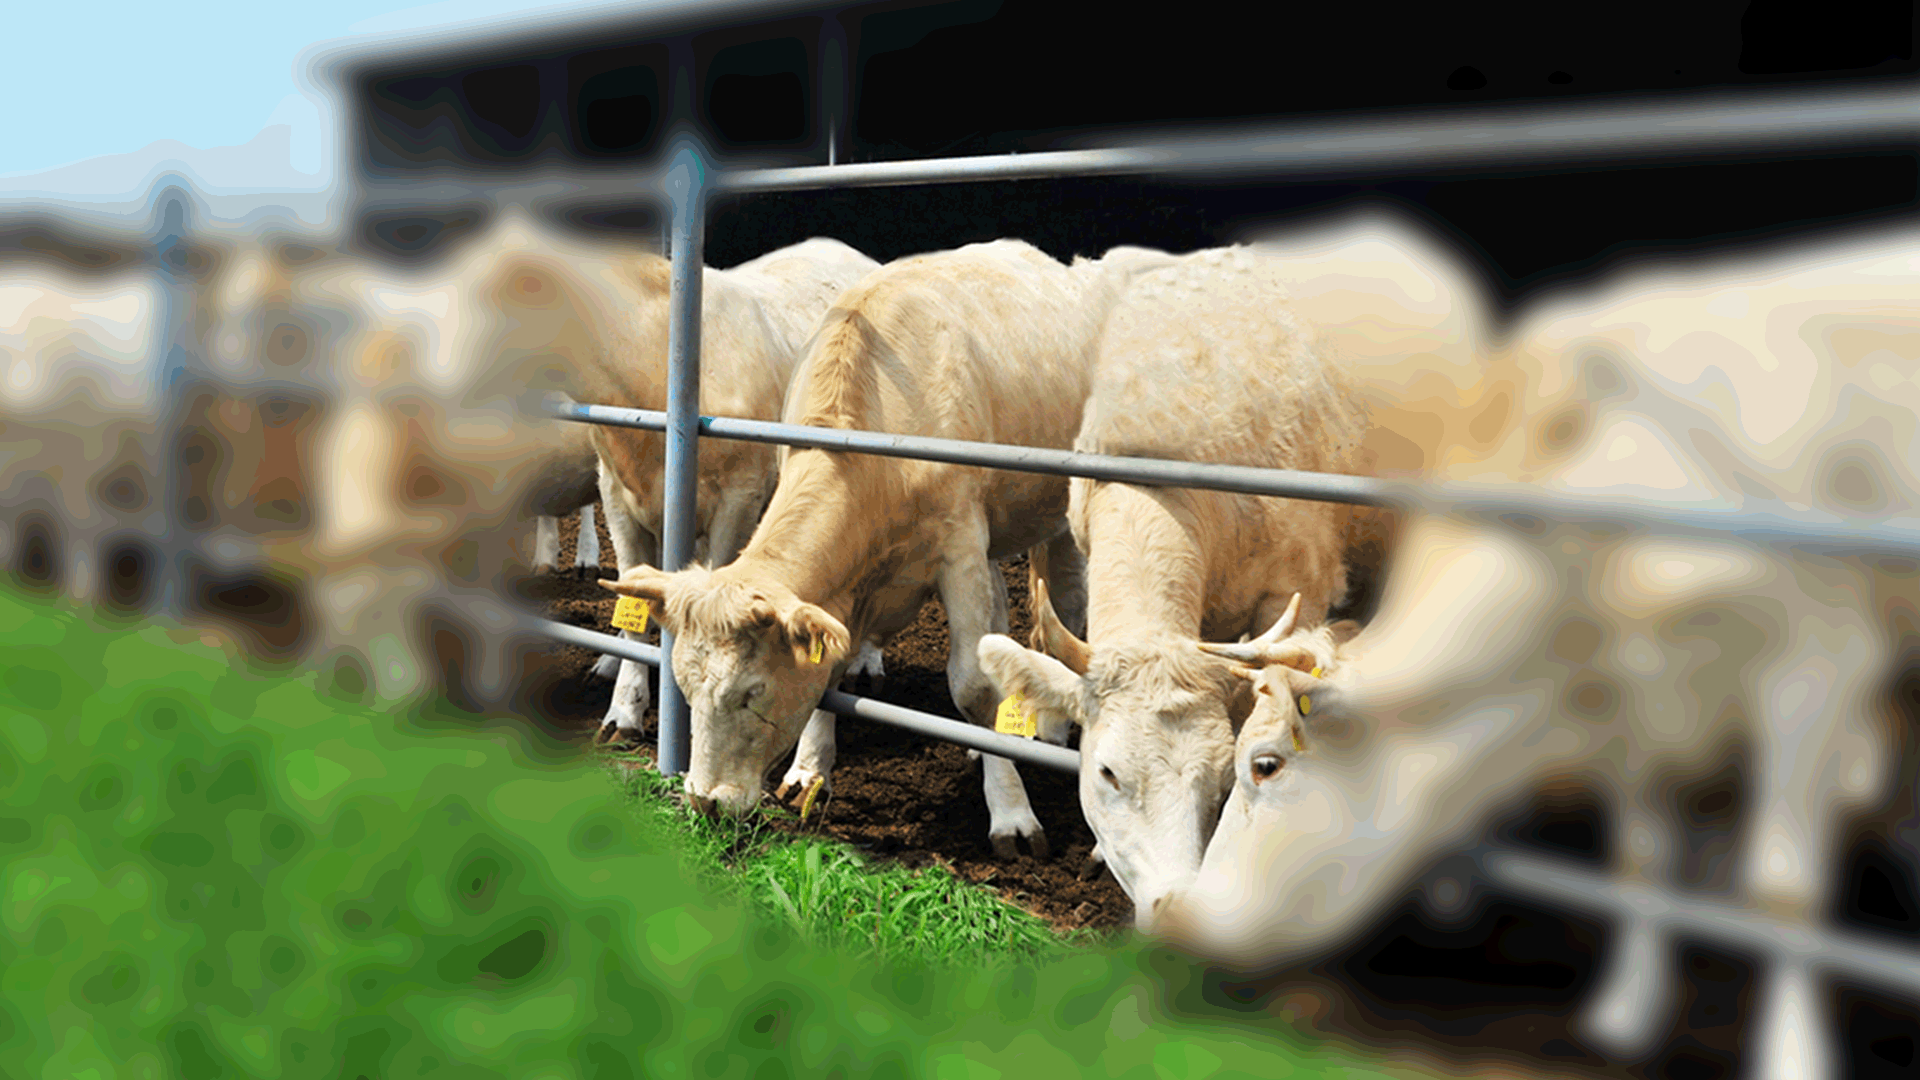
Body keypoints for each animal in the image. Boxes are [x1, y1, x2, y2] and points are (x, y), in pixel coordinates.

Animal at [599, 238, 1181, 858]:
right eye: (684, 687)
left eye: (752, 692)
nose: (706, 801)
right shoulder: (851, 583)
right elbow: (831, 669)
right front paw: (808, 772)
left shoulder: (959, 545)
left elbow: (972, 686)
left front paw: (1012, 814)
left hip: (1058, 511)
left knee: (1065, 602)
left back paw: (1044, 731)